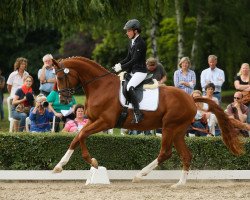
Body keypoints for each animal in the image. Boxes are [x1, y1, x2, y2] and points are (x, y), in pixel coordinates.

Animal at [51, 56, 245, 188]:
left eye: (60, 78)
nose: (63, 99)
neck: (100, 86)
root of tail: (191, 99)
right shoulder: (92, 120)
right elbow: (76, 137)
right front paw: (59, 166)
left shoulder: (105, 122)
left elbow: (82, 135)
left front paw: (93, 162)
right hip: (178, 131)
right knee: (186, 155)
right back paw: (179, 184)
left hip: (169, 127)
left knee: (165, 153)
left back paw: (140, 175)